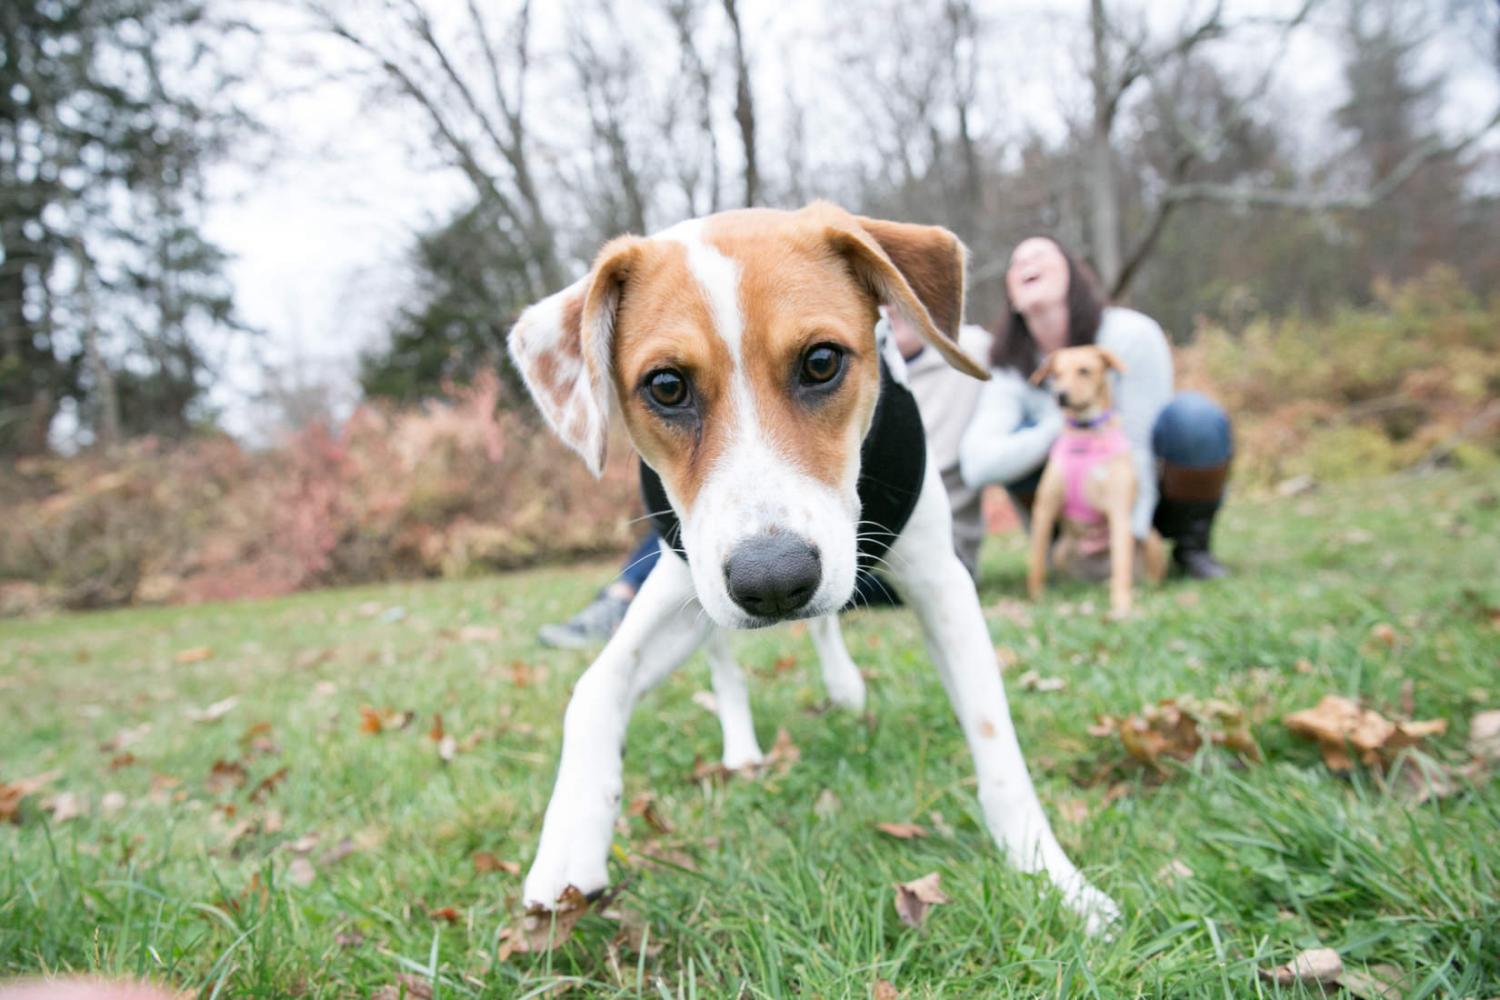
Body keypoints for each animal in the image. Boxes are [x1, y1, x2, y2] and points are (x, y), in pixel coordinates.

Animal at [510, 200, 1122, 929]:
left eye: (822, 361)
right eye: (665, 385)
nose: (773, 582)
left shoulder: (941, 581)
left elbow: (994, 738)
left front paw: (1058, 880)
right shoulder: (686, 582)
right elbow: (596, 686)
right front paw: (568, 843)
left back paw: (843, 687)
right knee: (725, 665)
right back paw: (743, 749)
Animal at [1026, 350, 1164, 617]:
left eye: (1084, 370)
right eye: (1056, 374)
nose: (1061, 395)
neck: (1085, 431)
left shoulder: (1119, 510)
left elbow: (1122, 565)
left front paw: (1121, 606)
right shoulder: (1045, 508)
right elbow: (1036, 559)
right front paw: (1037, 599)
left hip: (1149, 537)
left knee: (1136, 573)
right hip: (1061, 550)